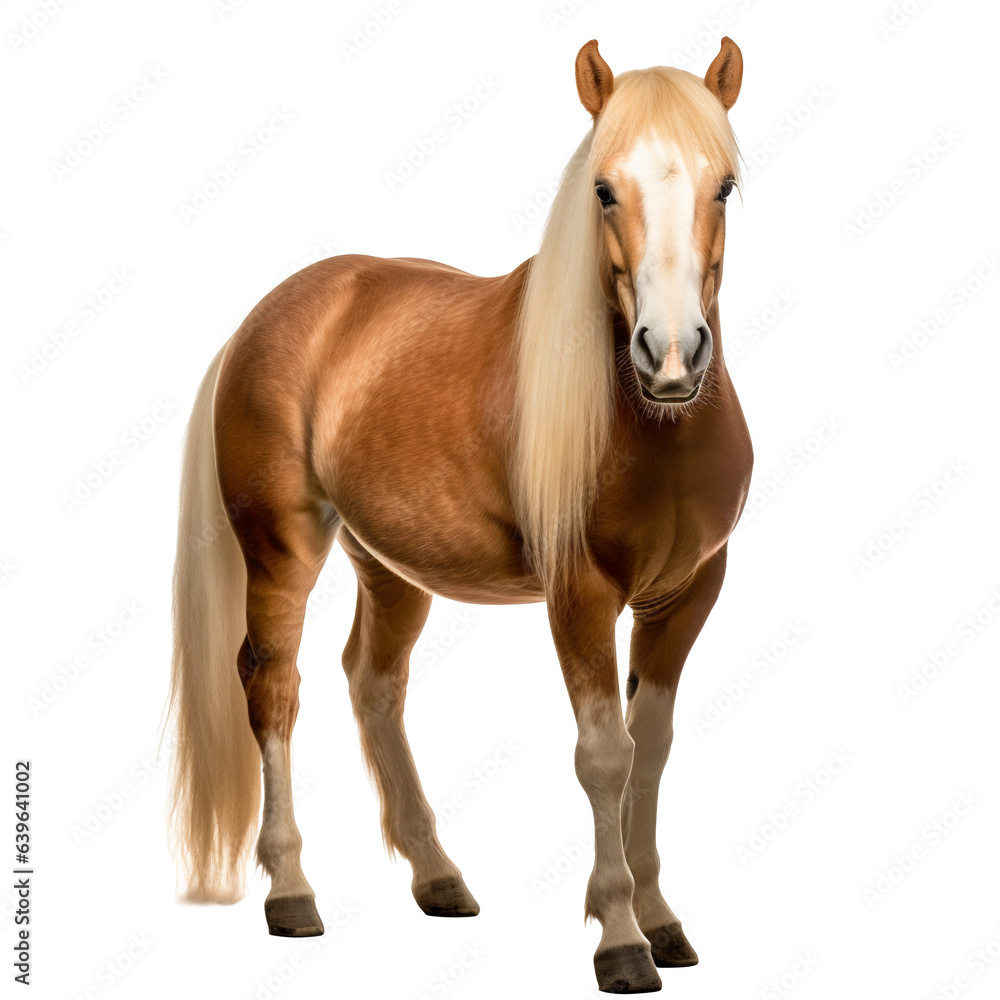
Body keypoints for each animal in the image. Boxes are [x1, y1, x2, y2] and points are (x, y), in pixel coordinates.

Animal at [167, 37, 752, 994]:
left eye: (724, 185)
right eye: (603, 188)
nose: (670, 357)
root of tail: (269, 316)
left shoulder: (687, 594)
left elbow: (653, 747)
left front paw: (663, 921)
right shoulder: (579, 595)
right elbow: (606, 755)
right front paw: (621, 938)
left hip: (388, 565)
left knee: (372, 682)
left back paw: (438, 876)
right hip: (284, 549)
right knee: (274, 687)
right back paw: (292, 892)